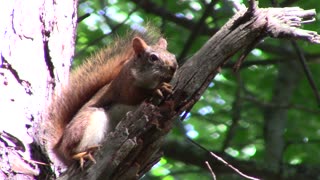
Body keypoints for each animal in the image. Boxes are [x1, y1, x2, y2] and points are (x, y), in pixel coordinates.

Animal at [46, 29, 179, 169]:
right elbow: (134, 95)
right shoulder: (124, 86)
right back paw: (80, 155)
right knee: (70, 151)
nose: (173, 67)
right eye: (153, 58)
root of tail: (58, 147)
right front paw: (158, 88)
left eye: (173, 55)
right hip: (86, 124)